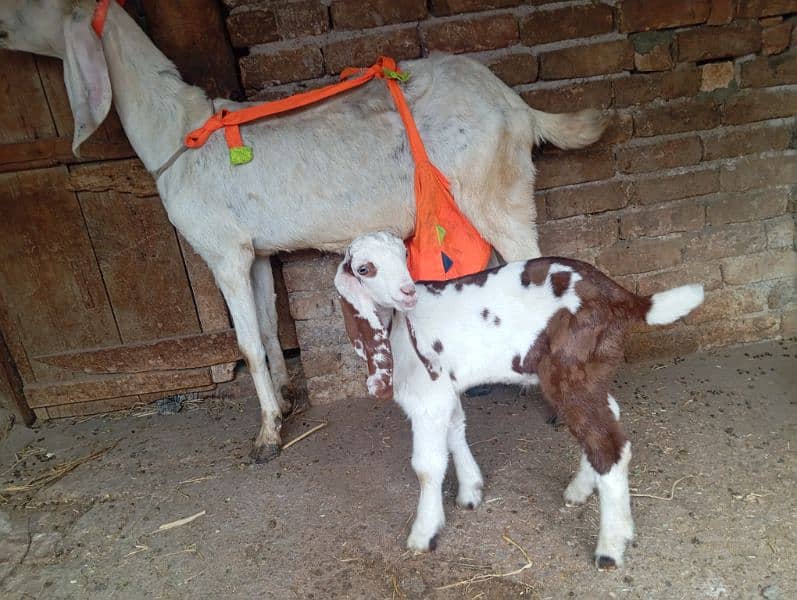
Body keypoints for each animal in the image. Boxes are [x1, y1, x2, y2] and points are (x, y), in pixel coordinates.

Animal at [0, 0, 604, 462]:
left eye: (32, 2)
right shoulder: (256, 252)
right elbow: (268, 329)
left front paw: (267, 435)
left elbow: (246, 342)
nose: (0, 24)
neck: (179, 132)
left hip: (496, 192)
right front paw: (287, 398)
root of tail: (517, 105)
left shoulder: (222, 251)